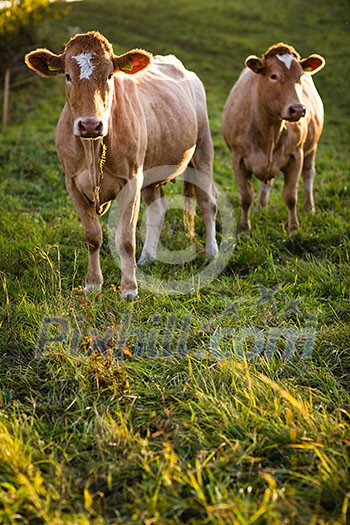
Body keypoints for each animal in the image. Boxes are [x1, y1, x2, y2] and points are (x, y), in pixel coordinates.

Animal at [24, 30, 217, 296]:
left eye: (109, 75)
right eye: (67, 76)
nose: (90, 125)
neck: (92, 150)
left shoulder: (131, 180)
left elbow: (125, 240)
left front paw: (129, 288)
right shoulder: (72, 184)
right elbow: (93, 237)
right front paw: (93, 284)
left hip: (203, 150)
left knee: (208, 203)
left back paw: (211, 253)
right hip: (153, 170)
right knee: (158, 208)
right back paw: (147, 257)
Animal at [223, 42, 324, 234]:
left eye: (300, 76)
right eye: (274, 76)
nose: (297, 109)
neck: (268, 130)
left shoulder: (296, 156)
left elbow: (291, 196)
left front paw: (293, 229)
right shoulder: (237, 158)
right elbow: (246, 197)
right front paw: (244, 228)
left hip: (312, 148)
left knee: (309, 174)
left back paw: (309, 208)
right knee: (266, 183)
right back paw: (261, 207)